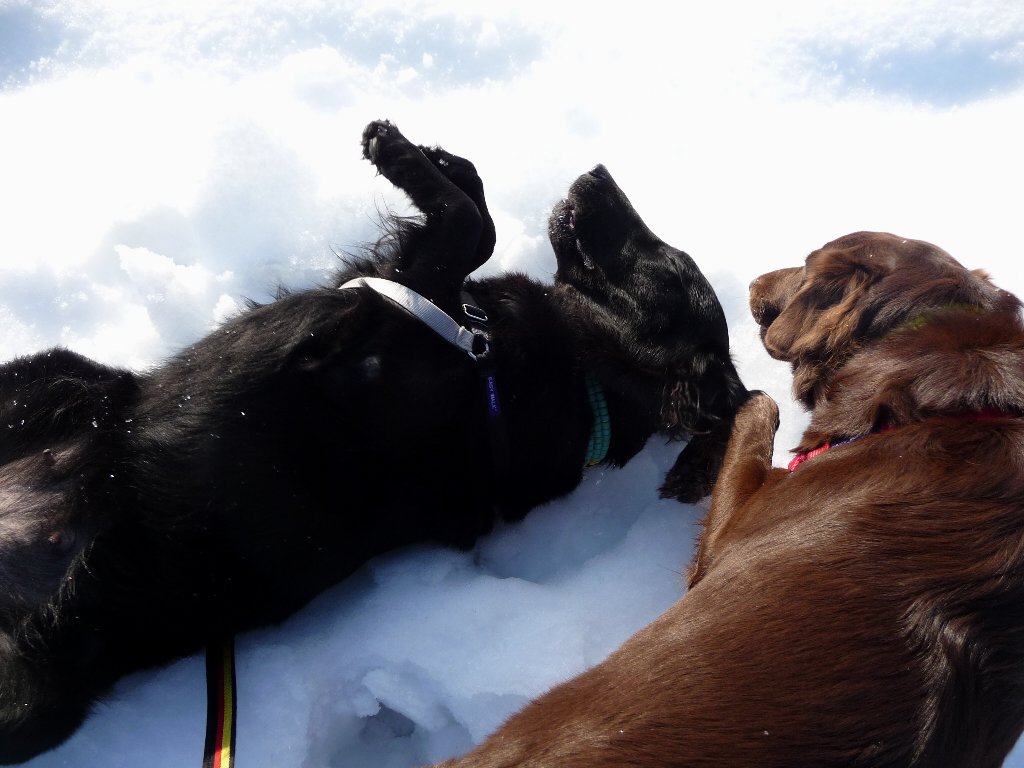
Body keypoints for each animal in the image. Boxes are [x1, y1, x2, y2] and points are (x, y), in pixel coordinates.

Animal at [0, 120, 745, 762]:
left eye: (664, 257)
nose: (598, 172)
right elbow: (473, 215)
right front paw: (442, 160)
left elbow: (473, 227)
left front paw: (396, 151)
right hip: (74, 380)